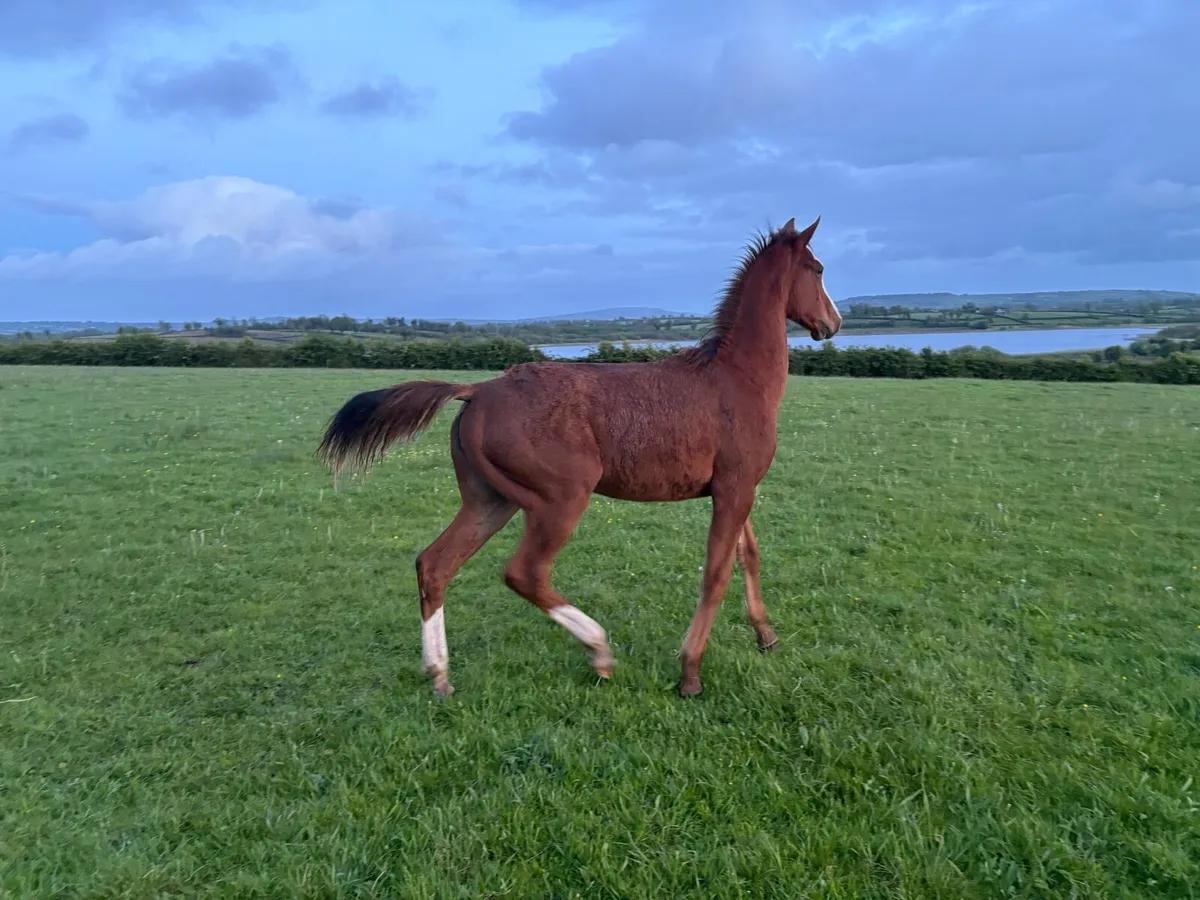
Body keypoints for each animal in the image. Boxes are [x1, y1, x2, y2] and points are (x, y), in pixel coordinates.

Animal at [316, 216, 842, 698]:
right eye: (817, 269)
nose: (834, 323)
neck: (736, 378)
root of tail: (477, 390)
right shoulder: (733, 489)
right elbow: (714, 573)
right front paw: (690, 672)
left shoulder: (739, 485)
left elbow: (748, 556)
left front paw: (766, 636)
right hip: (560, 498)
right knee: (524, 573)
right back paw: (599, 650)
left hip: (490, 500)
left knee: (435, 564)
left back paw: (441, 676)